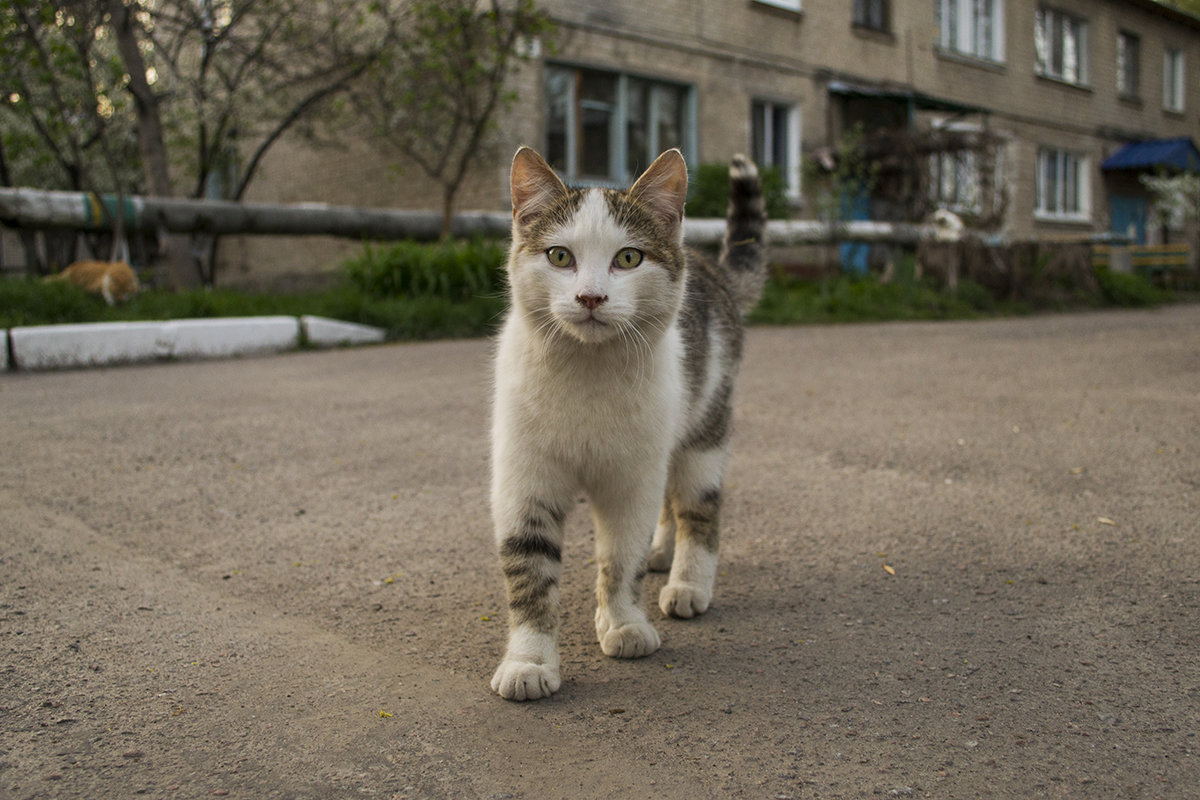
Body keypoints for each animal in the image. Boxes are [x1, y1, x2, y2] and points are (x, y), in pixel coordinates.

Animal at [489, 145, 763, 700]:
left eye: (629, 258)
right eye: (560, 257)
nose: (591, 297)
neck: (587, 376)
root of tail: (711, 266)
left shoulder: (630, 479)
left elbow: (620, 558)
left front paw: (623, 623)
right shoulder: (524, 480)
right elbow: (529, 570)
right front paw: (529, 660)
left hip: (701, 431)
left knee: (698, 508)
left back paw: (688, 582)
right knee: (672, 503)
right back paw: (664, 550)